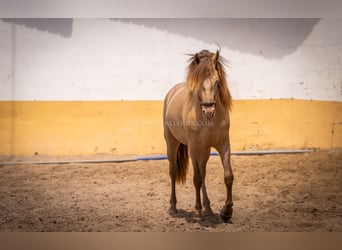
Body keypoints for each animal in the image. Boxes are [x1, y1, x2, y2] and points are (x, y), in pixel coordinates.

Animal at [162, 49, 232, 222]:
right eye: (199, 82)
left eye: (217, 81)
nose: (208, 111)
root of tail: (171, 92)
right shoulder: (193, 148)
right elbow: (196, 179)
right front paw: (197, 210)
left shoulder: (223, 144)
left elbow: (228, 176)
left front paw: (226, 212)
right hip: (172, 143)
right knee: (173, 171)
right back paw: (173, 207)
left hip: (205, 150)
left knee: (203, 171)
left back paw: (208, 208)